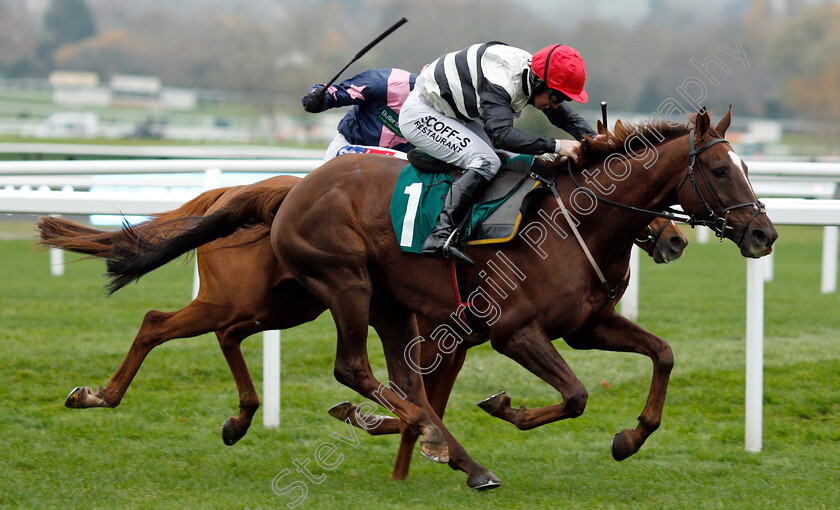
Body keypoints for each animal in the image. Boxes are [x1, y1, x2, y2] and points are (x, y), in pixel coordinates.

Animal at [70, 107, 776, 490]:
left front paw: (631, 436)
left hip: (299, 301)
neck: (574, 221)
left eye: (748, 167)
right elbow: (571, 395)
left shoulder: (583, 326)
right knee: (333, 363)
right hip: (341, 284)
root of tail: (287, 191)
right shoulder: (512, 332)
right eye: (720, 170)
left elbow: (663, 353)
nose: (764, 234)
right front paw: (500, 410)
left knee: (226, 333)